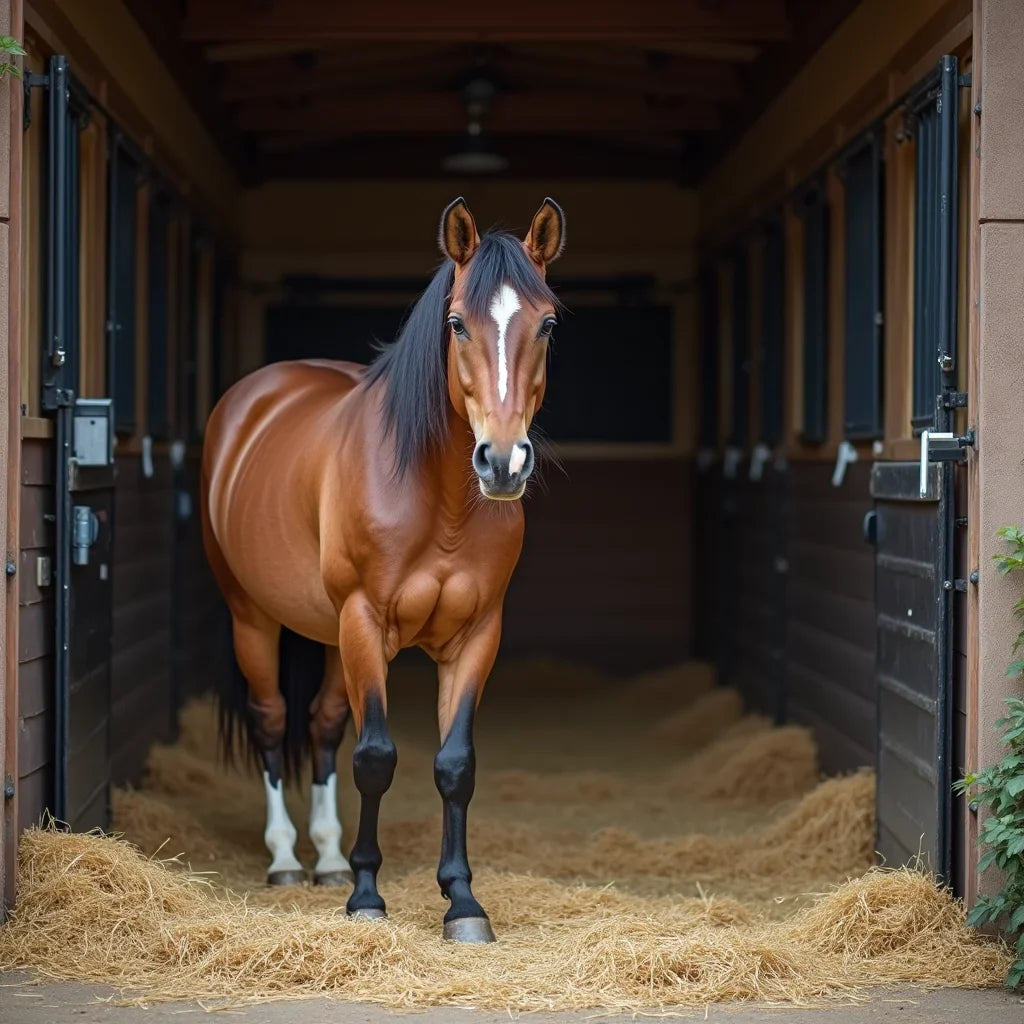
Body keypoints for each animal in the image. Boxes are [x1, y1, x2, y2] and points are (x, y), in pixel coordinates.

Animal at [201, 197, 566, 943]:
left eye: (547, 323)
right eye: (456, 323)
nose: (502, 463)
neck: (440, 503)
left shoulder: (477, 635)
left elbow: (454, 765)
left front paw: (462, 902)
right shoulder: (365, 621)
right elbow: (374, 758)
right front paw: (368, 898)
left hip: (330, 635)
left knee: (322, 724)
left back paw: (330, 857)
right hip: (256, 618)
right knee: (273, 721)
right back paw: (287, 860)